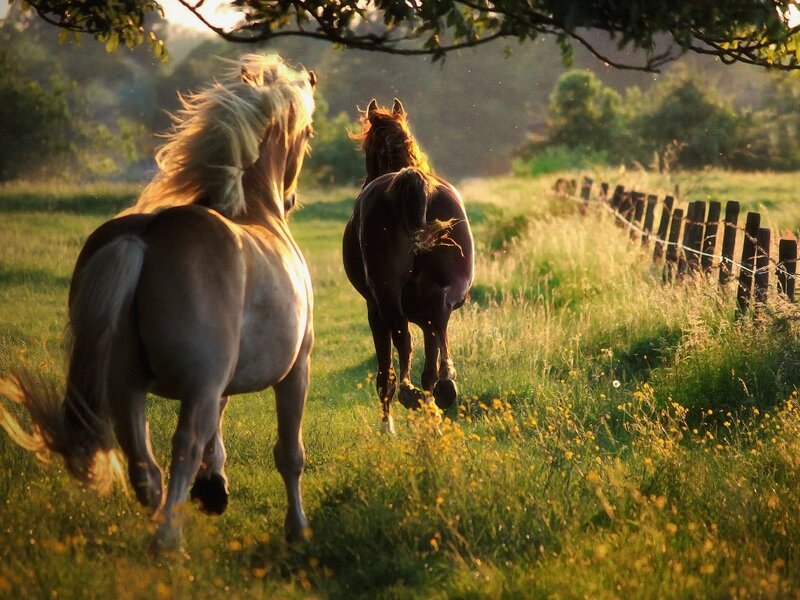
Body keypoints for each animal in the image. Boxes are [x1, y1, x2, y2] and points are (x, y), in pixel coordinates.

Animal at [0, 54, 317, 554]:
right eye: (307, 133)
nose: (290, 198)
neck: (256, 212)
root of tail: (142, 239)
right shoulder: (294, 370)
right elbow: (289, 455)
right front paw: (297, 528)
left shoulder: (220, 382)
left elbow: (219, 436)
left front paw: (215, 488)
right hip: (195, 388)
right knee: (182, 447)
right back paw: (168, 538)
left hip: (125, 385)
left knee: (144, 466)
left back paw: (162, 523)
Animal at [343, 98, 474, 435]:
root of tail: (411, 181)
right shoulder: (425, 312)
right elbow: (429, 355)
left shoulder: (373, 309)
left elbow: (385, 368)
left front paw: (387, 426)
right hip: (443, 293)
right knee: (437, 328)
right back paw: (443, 389)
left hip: (386, 299)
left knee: (402, 342)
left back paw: (407, 396)